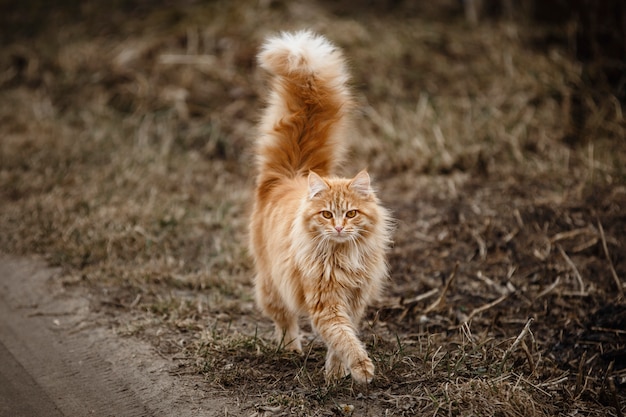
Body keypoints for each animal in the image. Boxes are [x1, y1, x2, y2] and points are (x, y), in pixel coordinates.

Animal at [247, 30, 390, 384]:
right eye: (327, 214)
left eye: (351, 213)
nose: (338, 227)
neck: (344, 258)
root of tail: (292, 174)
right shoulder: (327, 304)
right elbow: (343, 337)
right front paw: (361, 368)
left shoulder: (354, 301)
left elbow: (340, 342)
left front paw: (336, 374)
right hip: (272, 285)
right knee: (284, 320)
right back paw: (290, 350)